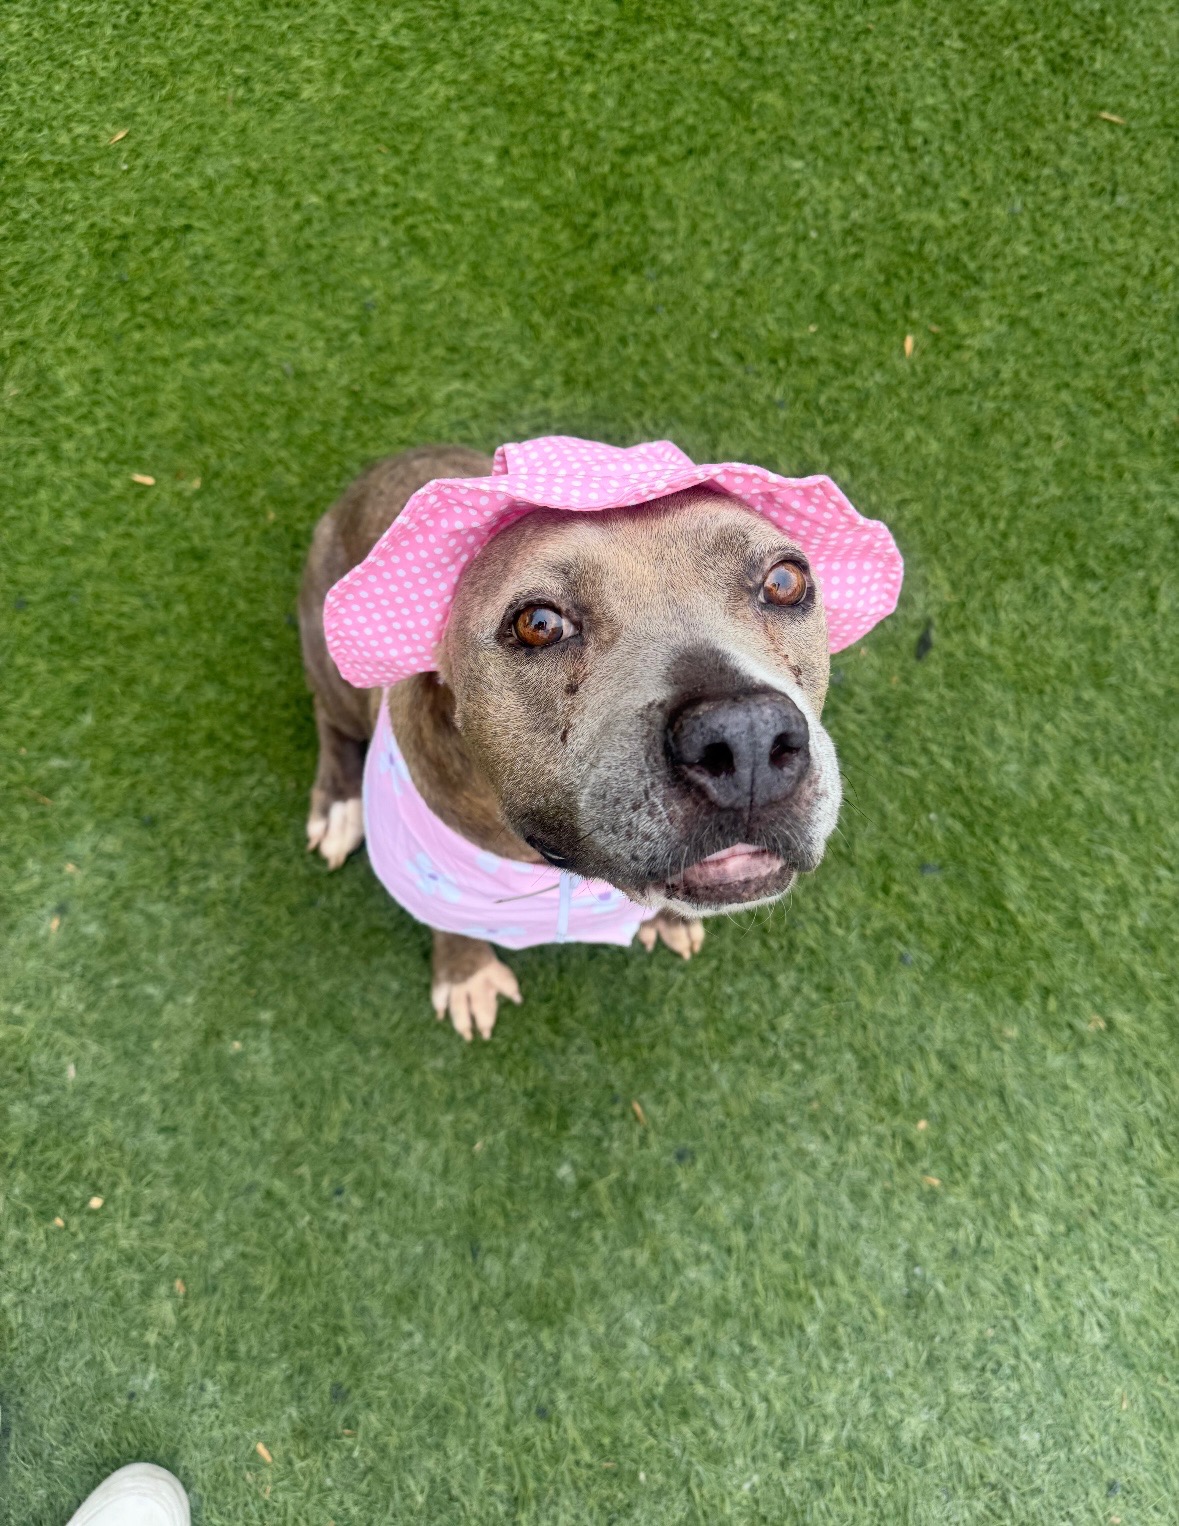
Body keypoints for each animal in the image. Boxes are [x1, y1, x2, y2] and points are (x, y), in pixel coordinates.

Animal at [299, 437, 901, 1040]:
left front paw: (668, 921)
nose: (746, 735)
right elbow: (452, 921)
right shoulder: (429, 873)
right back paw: (338, 805)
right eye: (538, 624)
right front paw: (465, 972)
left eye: (784, 582)